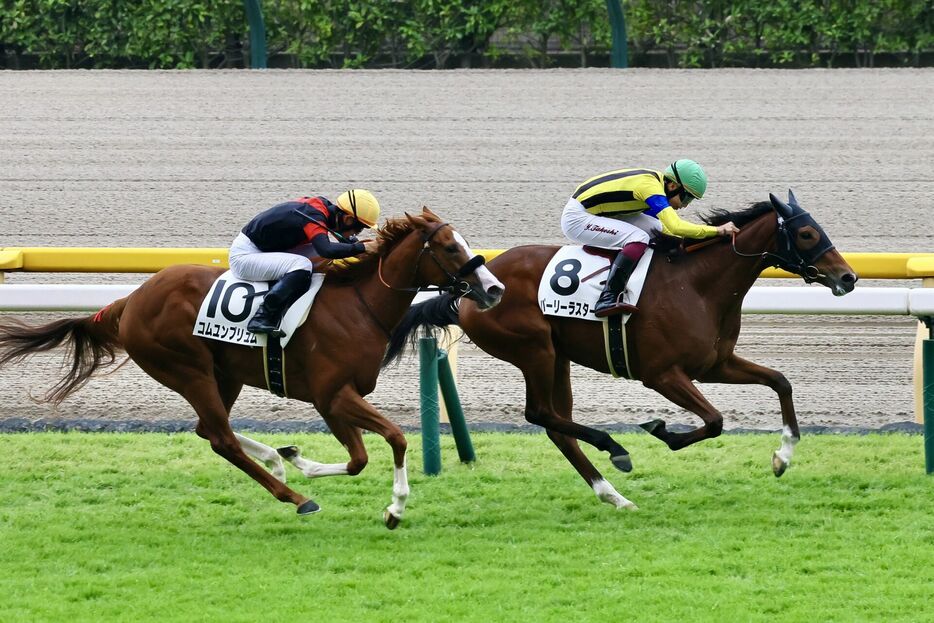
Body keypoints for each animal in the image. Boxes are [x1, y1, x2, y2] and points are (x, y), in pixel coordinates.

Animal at [0, 208, 504, 528]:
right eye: (449, 247)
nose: (494, 289)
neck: (359, 306)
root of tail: (130, 300)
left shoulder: (338, 398)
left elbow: (361, 457)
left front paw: (297, 457)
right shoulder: (331, 395)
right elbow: (386, 443)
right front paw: (394, 509)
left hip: (224, 374)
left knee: (209, 430)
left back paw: (277, 462)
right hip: (187, 369)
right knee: (220, 436)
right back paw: (295, 497)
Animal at [386, 193, 856, 510]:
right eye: (807, 233)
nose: (848, 277)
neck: (699, 285)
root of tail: (473, 289)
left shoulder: (715, 364)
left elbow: (780, 382)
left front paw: (783, 456)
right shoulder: (662, 374)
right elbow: (715, 421)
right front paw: (662, 430)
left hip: (558, 356)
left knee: (557, 425)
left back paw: (612, 493)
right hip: (534, 350)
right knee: (541, 414)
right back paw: (613, 448)